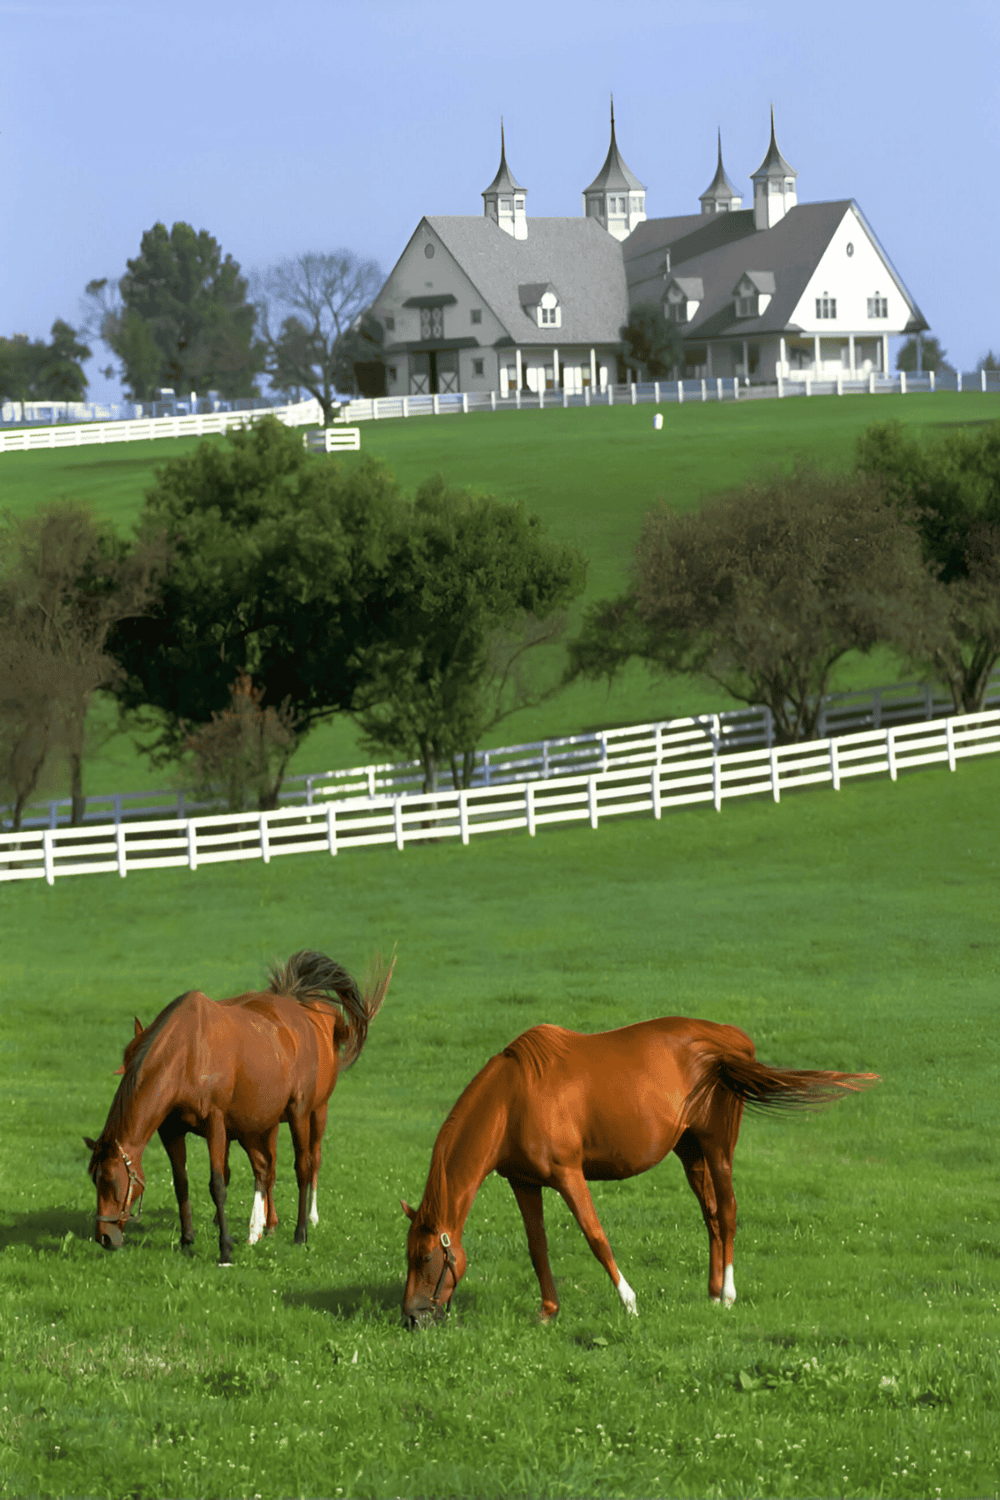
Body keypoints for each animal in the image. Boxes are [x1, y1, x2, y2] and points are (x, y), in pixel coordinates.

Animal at [86, 949, 394, 1262]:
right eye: (94, 1181)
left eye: (111, 1181)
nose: (104, 1237)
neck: (188, 1054)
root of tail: (298, 1007)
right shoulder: (172, 1129)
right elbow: (181, 1183)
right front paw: (187, 1241)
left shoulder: (216, 1124)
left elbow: (218, 1184)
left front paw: (225, 1248)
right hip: (258, 1123)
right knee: (264, 1167)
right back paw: (260, 1228)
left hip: (302, 1114)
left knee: (304, 1167)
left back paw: (300, 1231)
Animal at [401, 1017, 879, 1325]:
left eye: (425, 1257)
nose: (411, 1318)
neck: (513, 1098)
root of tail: (731, 1041)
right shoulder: (525, 1183)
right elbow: (538, 1247)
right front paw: (548, 1312)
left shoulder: (568, 1175)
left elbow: (595, 1236)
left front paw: (628, 1301)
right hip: (690, 1152)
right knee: (710, 1216)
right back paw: (710, 1293)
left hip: (717, 1148)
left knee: (727, 1212)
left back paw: (727, 1294)